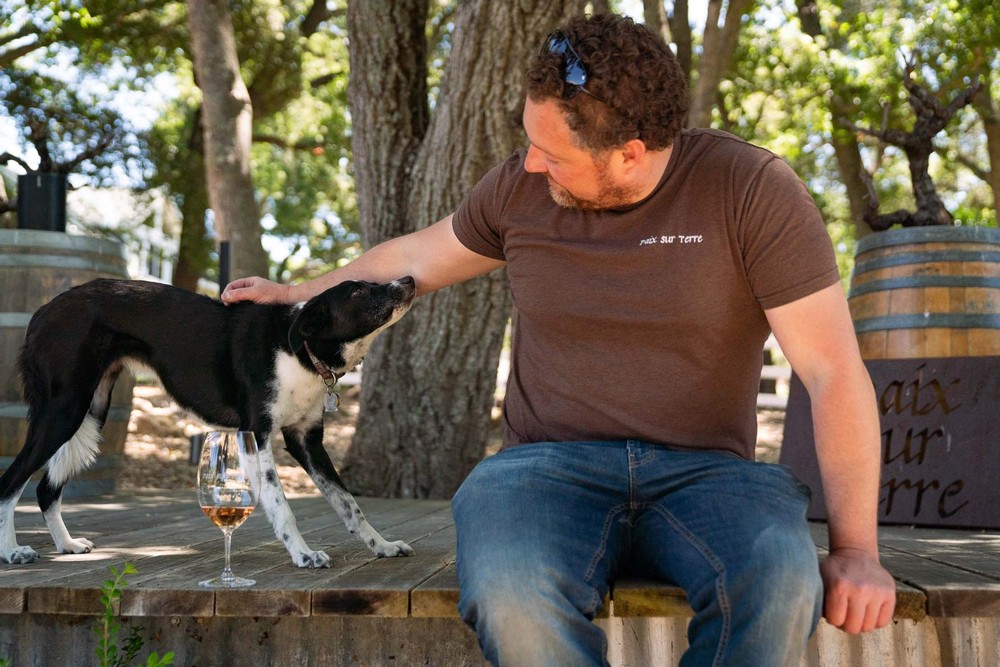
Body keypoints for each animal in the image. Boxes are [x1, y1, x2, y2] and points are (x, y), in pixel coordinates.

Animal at [0, 276, 414, 568]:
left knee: (45, 489)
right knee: (11, 480)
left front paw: (382, 545)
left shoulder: (307, 441)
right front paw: (303, 554)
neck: (297, 350)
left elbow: (348, 504)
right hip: (64, 410)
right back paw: (12, 551)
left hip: (91, 411)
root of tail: (42, 311)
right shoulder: (259, 435)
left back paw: (66, 545)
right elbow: (282, 504)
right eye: (358, 290)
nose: (409, 279)